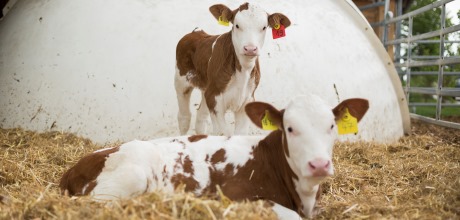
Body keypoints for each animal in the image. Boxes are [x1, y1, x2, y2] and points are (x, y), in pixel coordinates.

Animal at [60, 94, 370, 218]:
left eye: (332, 126)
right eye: (290, 128)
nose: (319, 164)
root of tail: (73, 167)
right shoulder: (235, 196)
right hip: (129, 175)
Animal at [175, 2, 292, 135]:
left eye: (264, 27)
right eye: (237, 25)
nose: (250, 49)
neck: (243, 71)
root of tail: (197, 32)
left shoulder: (247, 100)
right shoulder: (214, 99)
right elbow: (223, 133)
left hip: (206, 89)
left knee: (201, 117)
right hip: (181, 80)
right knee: (184, 117)